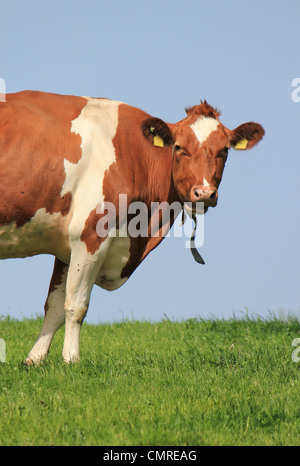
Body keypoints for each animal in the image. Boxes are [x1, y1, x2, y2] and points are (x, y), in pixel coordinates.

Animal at [0, 91, 264, 364]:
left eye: (225, 150)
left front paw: (34, 360)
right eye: (179, 147)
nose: (204, 193)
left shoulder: (67, 244)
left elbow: (54, 306)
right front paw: (72, 359)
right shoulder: (90, 233)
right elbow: (76, 305)